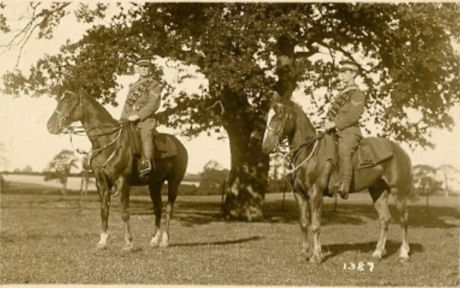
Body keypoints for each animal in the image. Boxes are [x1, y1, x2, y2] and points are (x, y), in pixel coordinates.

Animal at [47, 91, 188, 251]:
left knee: (169, 209)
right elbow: (104, 211)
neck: (108, 142)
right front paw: (102, 242)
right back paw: (153, 241)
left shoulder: (122, 182)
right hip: (154, 184)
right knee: (158, 208)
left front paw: (128, 243)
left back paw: (165, 241)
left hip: (174, 183)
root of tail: (180, 145)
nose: (50, 125)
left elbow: (125, 212)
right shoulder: (101, 183)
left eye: (68, 103)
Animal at [260, 98, 412, 264]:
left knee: (404, 220)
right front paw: (304, 253)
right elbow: (304, 223)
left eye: (279, 117)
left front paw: (316, 255)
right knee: (385, 220)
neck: (310, 153)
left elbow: (315, 225)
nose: (265, 147)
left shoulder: (316, 194)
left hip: (399, 191)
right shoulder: (299, 195)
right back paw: (378, 252)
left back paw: (404, 253)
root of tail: (401, 151)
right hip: (378, 191)